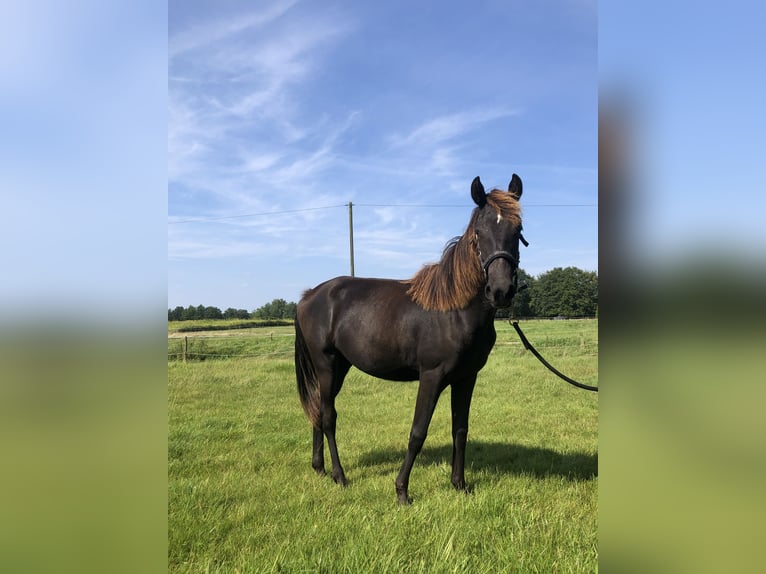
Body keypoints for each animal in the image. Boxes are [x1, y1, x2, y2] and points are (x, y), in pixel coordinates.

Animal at [296, 174, 524, 504]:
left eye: (518, 231)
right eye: (479, 232)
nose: (501, 291)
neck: (455, 309)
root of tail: (309, 296)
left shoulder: (466, 378)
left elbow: (460, 430)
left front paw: (460, 485)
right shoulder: (431, 376)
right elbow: (418, 431)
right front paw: (402, 491)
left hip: (339, 367)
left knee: (317, 409)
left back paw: (320, 469)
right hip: (325, 365)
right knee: (328, 416)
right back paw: (340, 476)